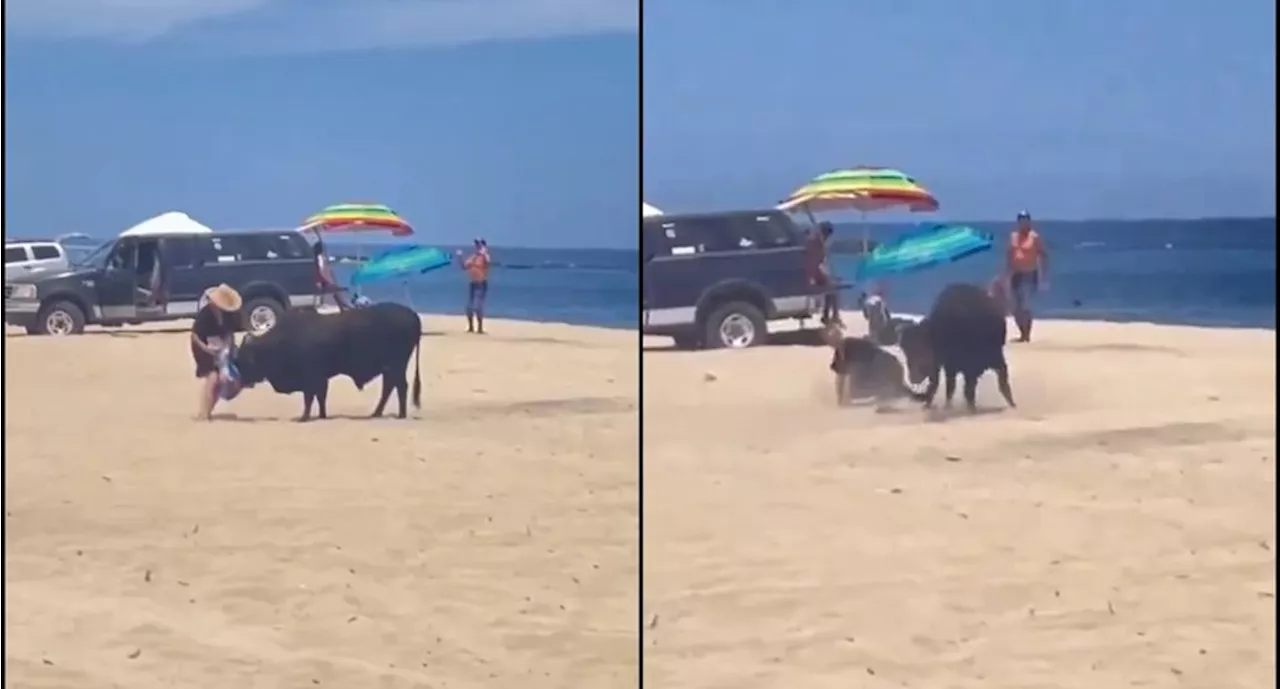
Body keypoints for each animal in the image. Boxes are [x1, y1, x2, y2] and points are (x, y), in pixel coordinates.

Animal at [232, 302, 422, 417]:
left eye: (243, 359)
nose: (241, 380)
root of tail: (413, 315)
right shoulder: (320, 379)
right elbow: (320, 397)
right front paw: (321, 415)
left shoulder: (311, 378)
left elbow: (310, 398)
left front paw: (304, 417)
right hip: (390, 369)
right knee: (389, 388)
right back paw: (377, 413)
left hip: (395, 367)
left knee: (400, 387)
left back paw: (400, 414)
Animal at [896, 281, 1013, 409]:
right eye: (906, 352)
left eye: (920, 350)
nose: (913, 379)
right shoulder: (951, 367)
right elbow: (952, 388)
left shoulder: (980, 365)